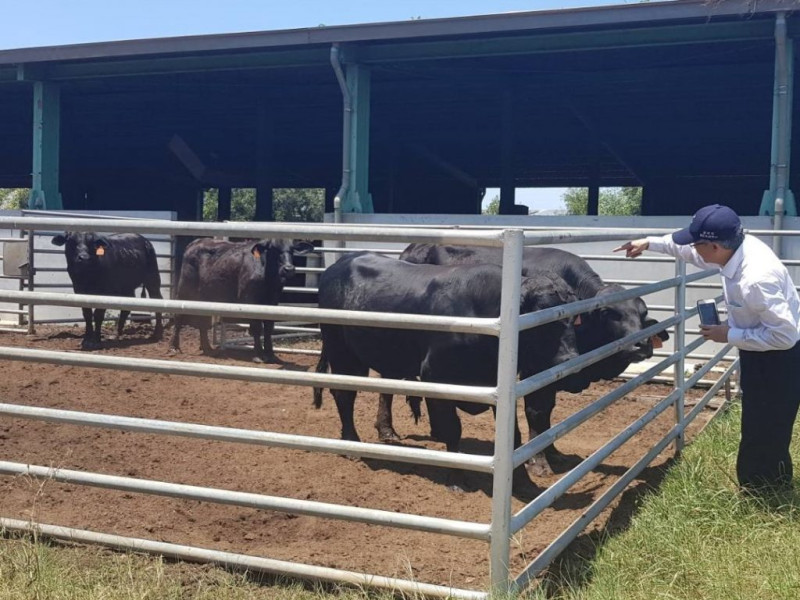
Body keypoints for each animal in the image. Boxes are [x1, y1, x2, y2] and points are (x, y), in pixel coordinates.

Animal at [170, 238, 314, 360]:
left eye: (292, 249)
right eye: (273, 249)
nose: (289, 269)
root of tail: (196, 242)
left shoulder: (273, 301)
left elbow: (268, 327)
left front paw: (270, 354)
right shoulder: (250, 300)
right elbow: (256, 328)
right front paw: (258, 354)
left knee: (202, 321)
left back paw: (208, 348)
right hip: (185, 290)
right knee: (178, 316)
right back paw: (174, 347)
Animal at [312, 251, 580, 490]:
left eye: (572, 318)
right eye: (543, 320)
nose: (570, 359)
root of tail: (339, 264)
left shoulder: (496, 386)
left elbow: (513, 436)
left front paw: (521, 482)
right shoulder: (436, 376)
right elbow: (453, 429)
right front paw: (457, 478)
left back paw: (386, 431)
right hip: (342, 353)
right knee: (344, 396)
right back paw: (351, 443)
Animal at [400, 241, 668, 476]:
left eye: (642, 313)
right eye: (607, 312)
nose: (642, 343)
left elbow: (548, 412)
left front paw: (553, 452)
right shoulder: (534, 370)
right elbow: (537, 411)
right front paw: (538, 461)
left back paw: (437, 431)